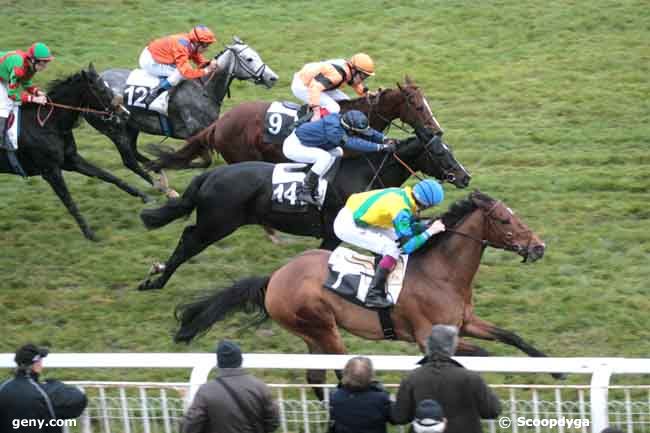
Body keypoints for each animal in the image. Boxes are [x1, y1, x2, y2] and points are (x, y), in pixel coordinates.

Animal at [0, 65, 144, 240]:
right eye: (101, 89)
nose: (125, 113)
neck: (48, 124)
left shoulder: (71, 160)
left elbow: (108, 176)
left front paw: (143, 195)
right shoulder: (51, 171)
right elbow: (69, 202)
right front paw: (90, 233)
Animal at [83, 37, 276, 186]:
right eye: (249, 59)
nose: (273, 78)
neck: (204, 90)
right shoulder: (194, 133)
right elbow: (203, 161)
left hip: (132, 126)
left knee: (134, 153)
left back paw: (156, 170)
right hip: (113, 129)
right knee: (129, 160)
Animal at [138, 135, 470, 290]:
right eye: (439, 152)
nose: (464, 176)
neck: (363, 173)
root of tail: (211, 175)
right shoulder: (332, 233)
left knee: (187, 238)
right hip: (217, 224)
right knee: (188, 242)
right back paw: (155, 281)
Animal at [172, 189, 552, 392]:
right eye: (504, 220)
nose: (538, 247)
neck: (441, 273)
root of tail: (275, 277)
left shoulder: (466, 323)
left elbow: (511, 336)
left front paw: (554, 367)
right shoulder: (428, 336)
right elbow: (482, 355)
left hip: (312, 335)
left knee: (315, 376)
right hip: (323, 328)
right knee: (340, 370)